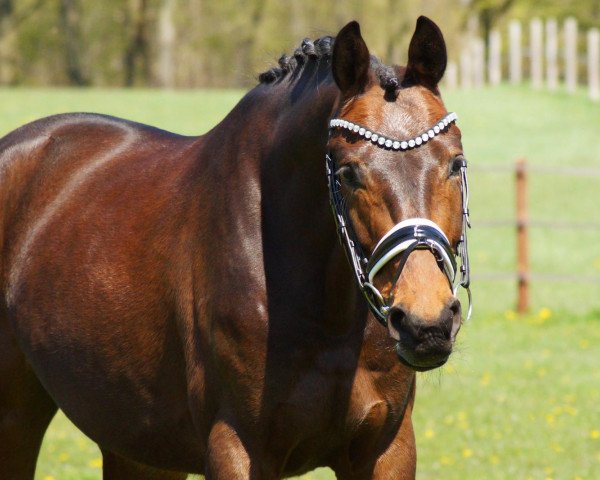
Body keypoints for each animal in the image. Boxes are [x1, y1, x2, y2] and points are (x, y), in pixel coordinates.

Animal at [0, 15, 468, 480]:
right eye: (348, 173)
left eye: (456, 163)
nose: (425, 321)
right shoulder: (237, 447)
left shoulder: (386, 447)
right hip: (17, 420)